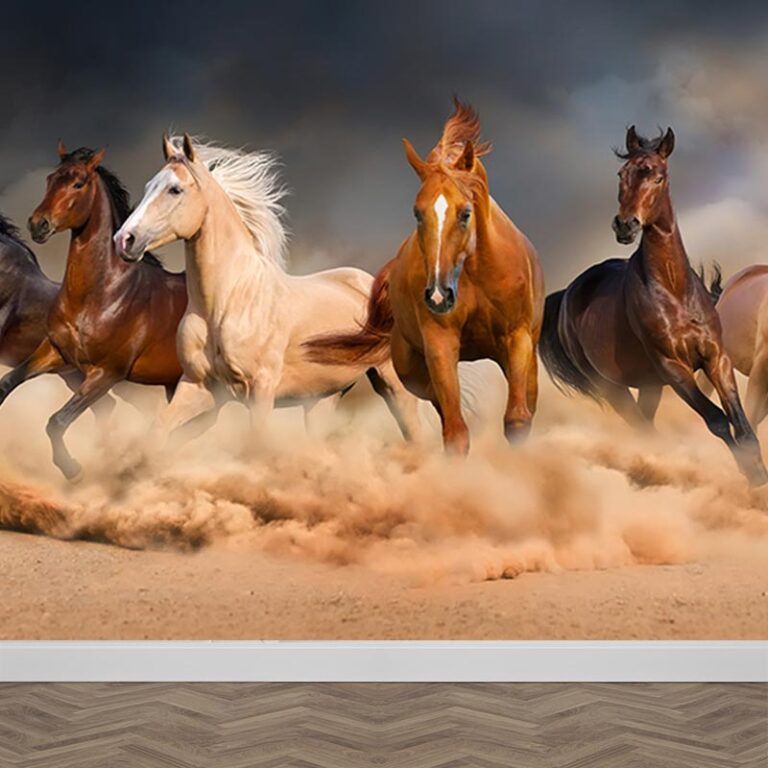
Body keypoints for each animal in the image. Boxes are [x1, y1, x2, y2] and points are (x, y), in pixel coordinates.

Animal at [0, 143, 187, 479]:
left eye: (78, 183)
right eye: (50, 179)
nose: (38, 224)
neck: (102, 296)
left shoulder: (106, 373)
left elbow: (57, 420)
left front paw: (71, 468)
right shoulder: (55, 353)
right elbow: (8, 384)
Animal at [112, 134, 419, 443]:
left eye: (175, 189)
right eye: (149, 186)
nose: (124, 240)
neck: (225, 303)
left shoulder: (260, 389)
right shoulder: (197, 387)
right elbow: (157, 432)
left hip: (393, 383)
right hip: (322, 398)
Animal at [304, 99, 544, 454]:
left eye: (465, 213)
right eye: (417, 213)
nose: (438, 296)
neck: (476, 275)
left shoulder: (516, 339)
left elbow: (517, 420)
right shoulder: (440, 343)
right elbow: (455, 432)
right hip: (411, 370)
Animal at [538, 126, 767, 485]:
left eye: (659, 177)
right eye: (622, 173)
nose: (625, 225)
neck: (674, 291)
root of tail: (567, 294)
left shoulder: (716, 357)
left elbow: (740, 422)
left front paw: (757, 470)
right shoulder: (673, 368)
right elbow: (717, 419)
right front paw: (750, 473)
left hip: (647, 387)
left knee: (645, 425)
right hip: (613, 388)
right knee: (641, 428)